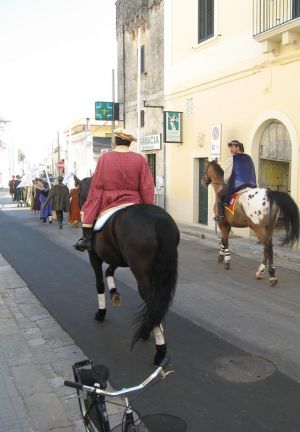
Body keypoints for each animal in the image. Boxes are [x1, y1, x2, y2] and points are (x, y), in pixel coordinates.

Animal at [73, 176, 179, 364]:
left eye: (78, 193)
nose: (81, 209)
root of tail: (159, 221)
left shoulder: (95, 256)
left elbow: (99, 283)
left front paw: (101, 312)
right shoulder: (117, 258)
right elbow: (109, 271)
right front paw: (114, 293)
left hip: (141, 273)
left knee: (152, 300)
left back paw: (158, 349)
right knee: (157, 302)